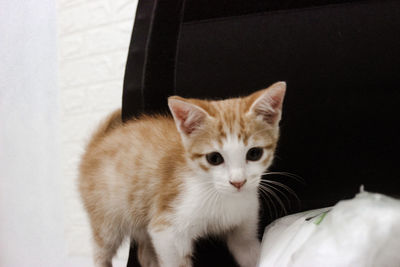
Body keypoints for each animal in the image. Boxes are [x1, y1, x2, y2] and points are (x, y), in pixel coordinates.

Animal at [78, 82, 286, 267]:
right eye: (214, 158)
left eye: (254, 153)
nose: (238, 182)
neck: (223, 197)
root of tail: (96, 144)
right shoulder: (166, 229)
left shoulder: (244, 230)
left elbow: (249, 250)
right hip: (107, 221)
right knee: (101, 251)